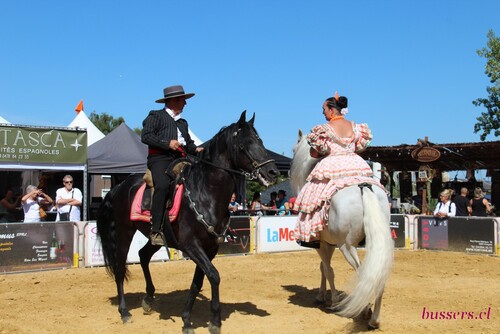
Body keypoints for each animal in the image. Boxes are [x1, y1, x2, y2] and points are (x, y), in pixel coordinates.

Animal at [95, 111, 280, 332]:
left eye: (260, 140)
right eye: (246, 143)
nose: (273, 172)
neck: (206, 193)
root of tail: (119, 187)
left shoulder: (210, 248)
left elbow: (198, 282)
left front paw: (186, 320)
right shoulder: (191, 245)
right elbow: (214, 275)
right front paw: (214, 321)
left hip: (157, 237)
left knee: (143, 255)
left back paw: (148, 299)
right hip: (124, 232)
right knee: (120, 267)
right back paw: (124, 311)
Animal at [290, 130, 394, 328]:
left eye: (293, 150)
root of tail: (363, 187)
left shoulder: (321, 244)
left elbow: (328, 270)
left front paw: (332, 301)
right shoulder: (328, 244)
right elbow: (323, 268)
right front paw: (321, 296)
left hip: (347, 246)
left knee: (363, 275)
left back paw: (365, 311)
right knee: (377, 275)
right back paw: (374, 319)